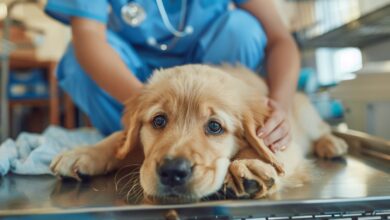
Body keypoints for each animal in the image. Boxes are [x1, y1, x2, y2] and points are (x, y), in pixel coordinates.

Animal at [49, 64, 348, 202]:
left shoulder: (281, 137)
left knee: (322, 129)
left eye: (215, 126)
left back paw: (332, 143)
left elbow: (272, 152)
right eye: (159, 120)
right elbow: (119, 139)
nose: (173, 172)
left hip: (304, 113)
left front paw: (250, 165)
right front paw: (81, 154)